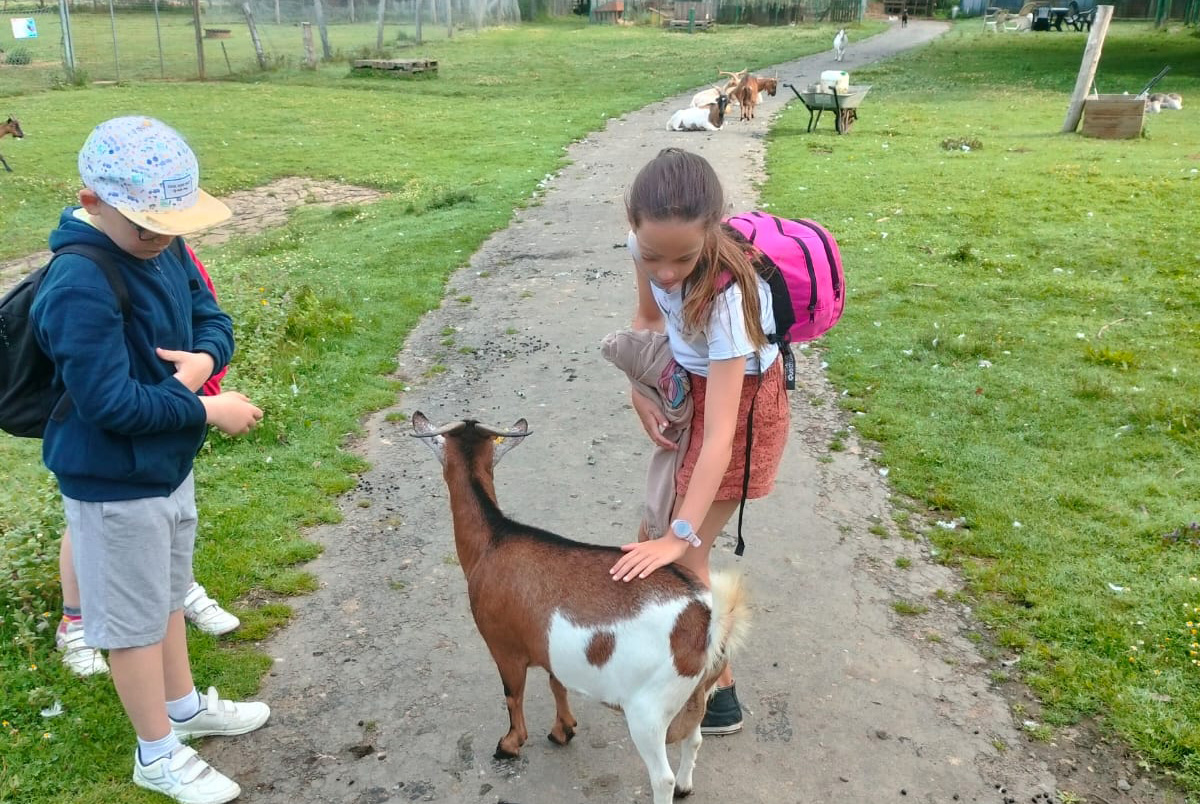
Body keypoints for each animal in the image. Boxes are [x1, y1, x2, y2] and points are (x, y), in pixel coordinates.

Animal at [412, 415, 748, 804]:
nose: (419, 417)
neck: (493, 541)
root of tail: (707, 619)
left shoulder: (503, 646)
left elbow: (513, 696)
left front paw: (509, 745)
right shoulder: (552, 650)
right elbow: (557, 684)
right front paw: (564, 730)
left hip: (649, 710)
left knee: (660, 776)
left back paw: (669, 784)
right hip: (698, 694)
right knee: (693, 741)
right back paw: (684, 786)